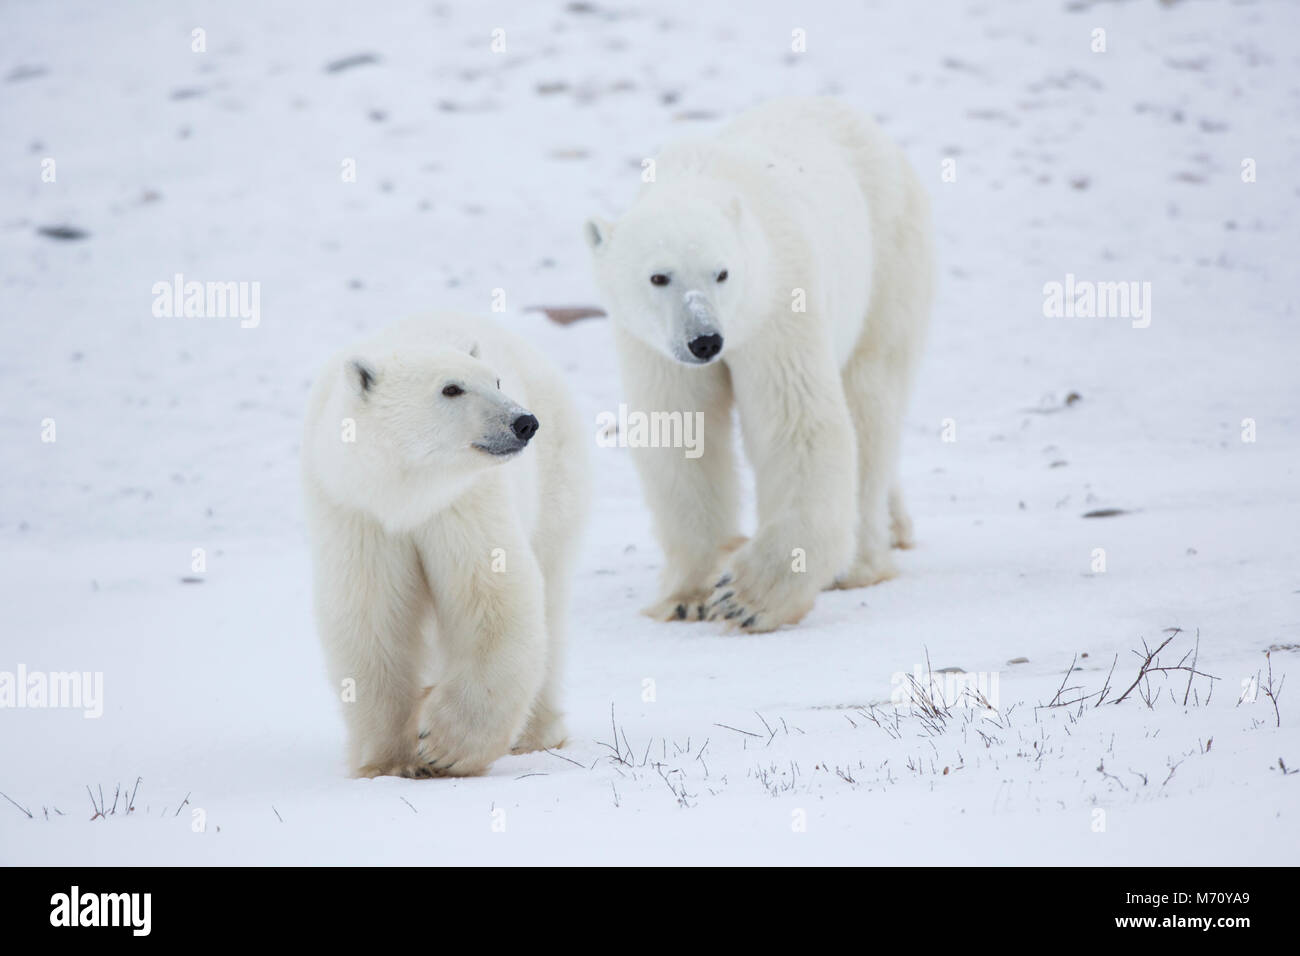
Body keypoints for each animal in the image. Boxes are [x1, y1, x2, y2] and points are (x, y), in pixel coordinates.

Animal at [301, 314, 587, 780]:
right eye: (451, 388)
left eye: (496, 379)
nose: (524, 422)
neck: (406, 496)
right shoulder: (356, 512)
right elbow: (372, 615)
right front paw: (387, 761)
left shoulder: (462, 502)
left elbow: (494, 599)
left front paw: (442, 746)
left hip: (557, 480)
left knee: (552, 593)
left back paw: (536, 733)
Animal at [585, 98, 930, 634]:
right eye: (659, 276)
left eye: (722, 273)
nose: (706, 341)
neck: (701, 173)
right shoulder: (652, 346)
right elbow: (682, 432)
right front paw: (688, 595)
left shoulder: (776, 302)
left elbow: (796, 423)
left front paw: (745, 597)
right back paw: (898, 526)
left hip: (888, 258)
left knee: (871, 401)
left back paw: (859, 563)